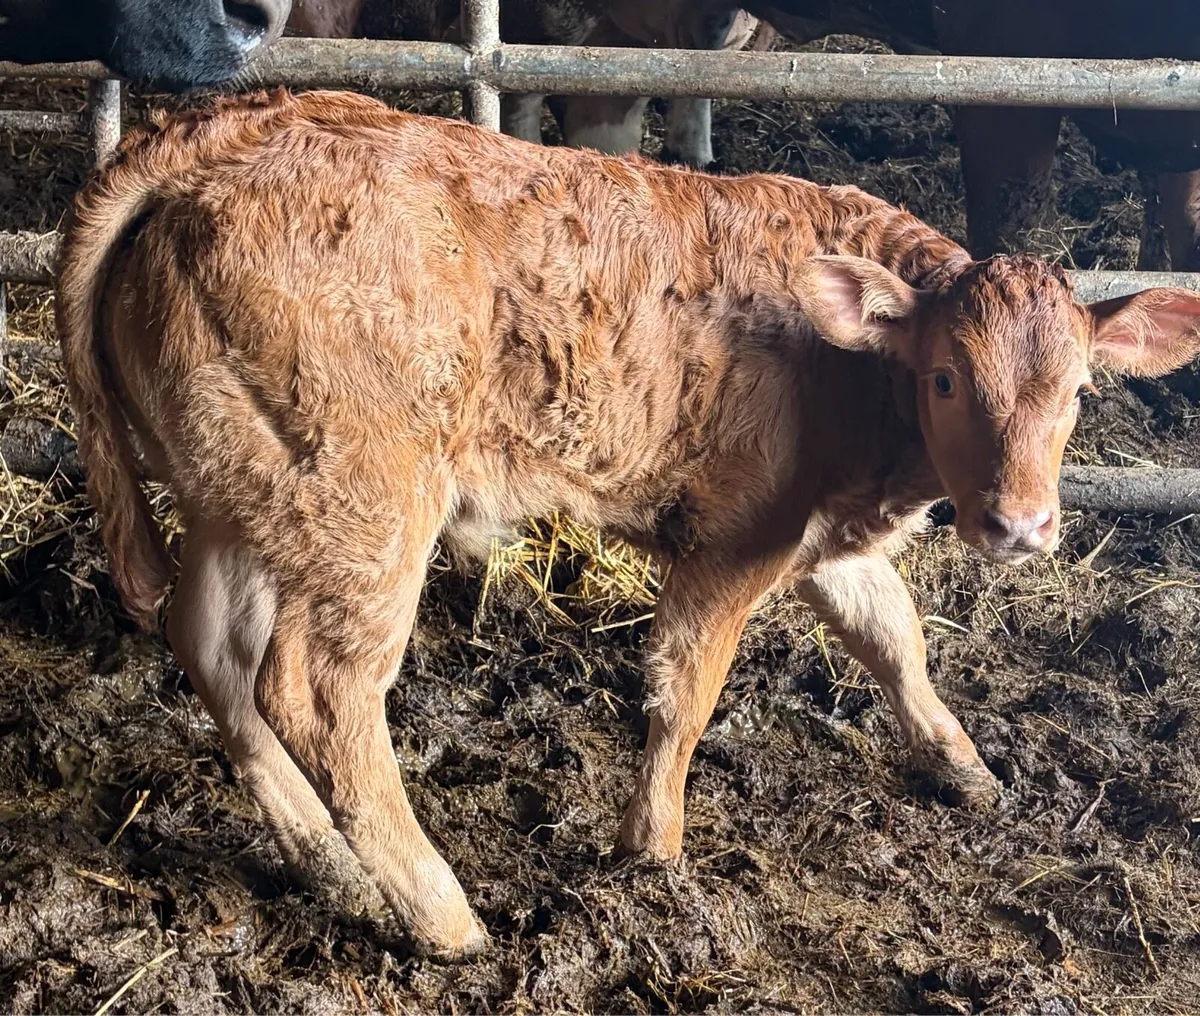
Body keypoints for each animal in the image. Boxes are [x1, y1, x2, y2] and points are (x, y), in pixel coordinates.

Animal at [56, 89, 1200, 957]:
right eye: (949, 378)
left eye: (1080, 392)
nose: (1020, 524)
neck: (851, 376)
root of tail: (224, 127)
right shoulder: (737, 537)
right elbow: (685, 692)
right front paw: (653, 853)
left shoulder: (819, 532)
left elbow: (895, 639)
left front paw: (965, 764)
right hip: (364, 504)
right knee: (317, 689)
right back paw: (440, 911)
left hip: (239, 488)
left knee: (211, 647)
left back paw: (331, 863)